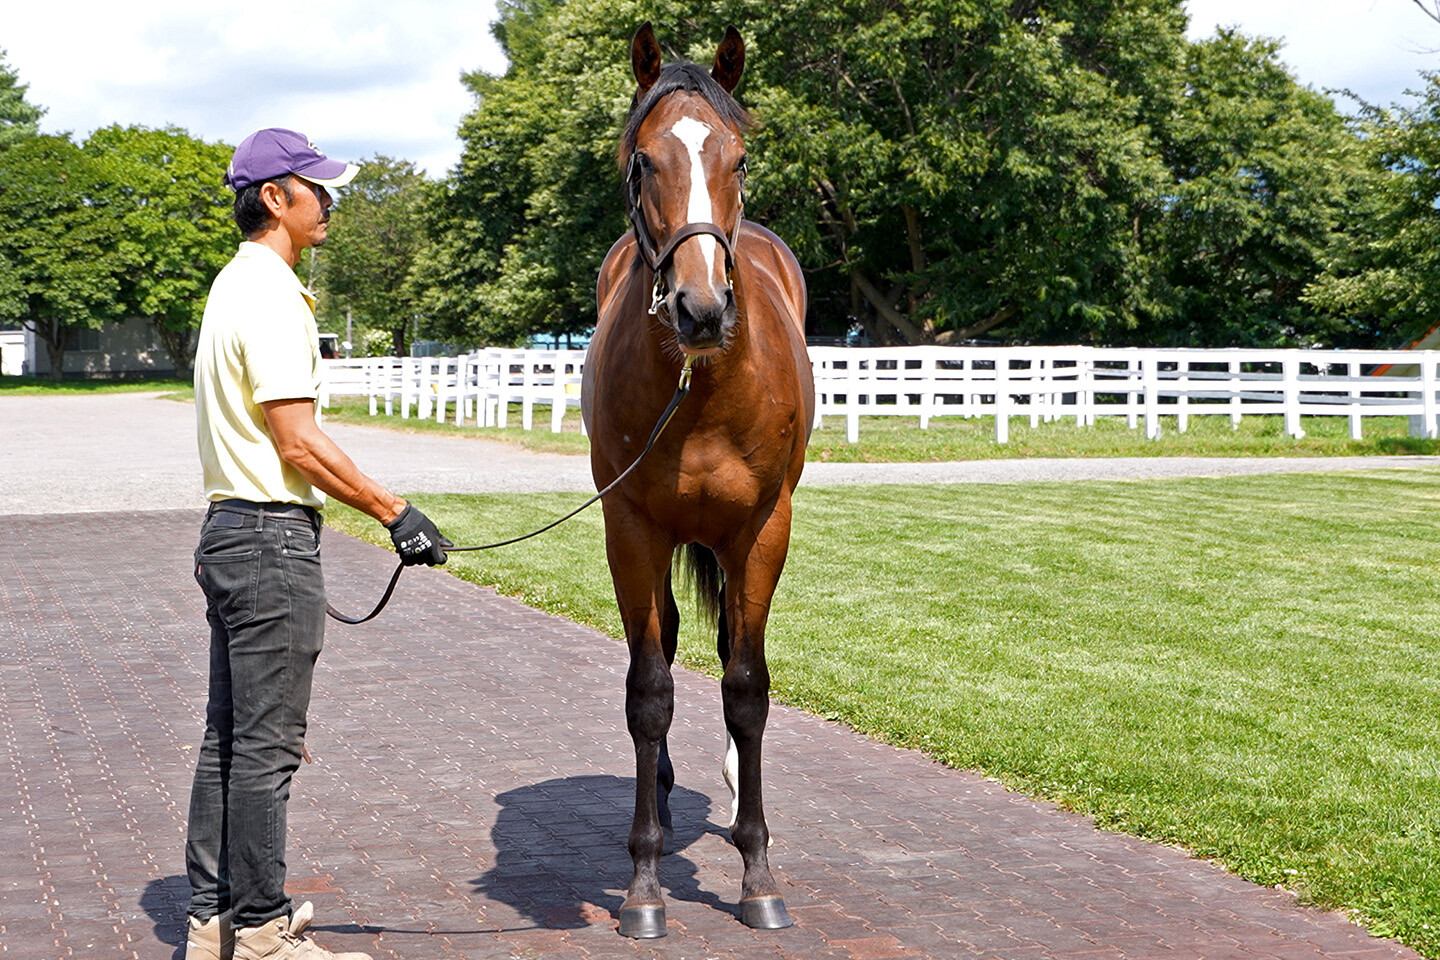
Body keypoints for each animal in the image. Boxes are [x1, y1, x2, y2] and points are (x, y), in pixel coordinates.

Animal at [580, 22, 815, 940]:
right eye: (644, 161)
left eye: (739, 159)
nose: (701, 309)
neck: (703, 387)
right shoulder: (632, 530)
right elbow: (649, 691)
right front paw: (643, 884)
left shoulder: (761, 531)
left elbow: (746, 688)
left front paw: (758, 871)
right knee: (673, 647)